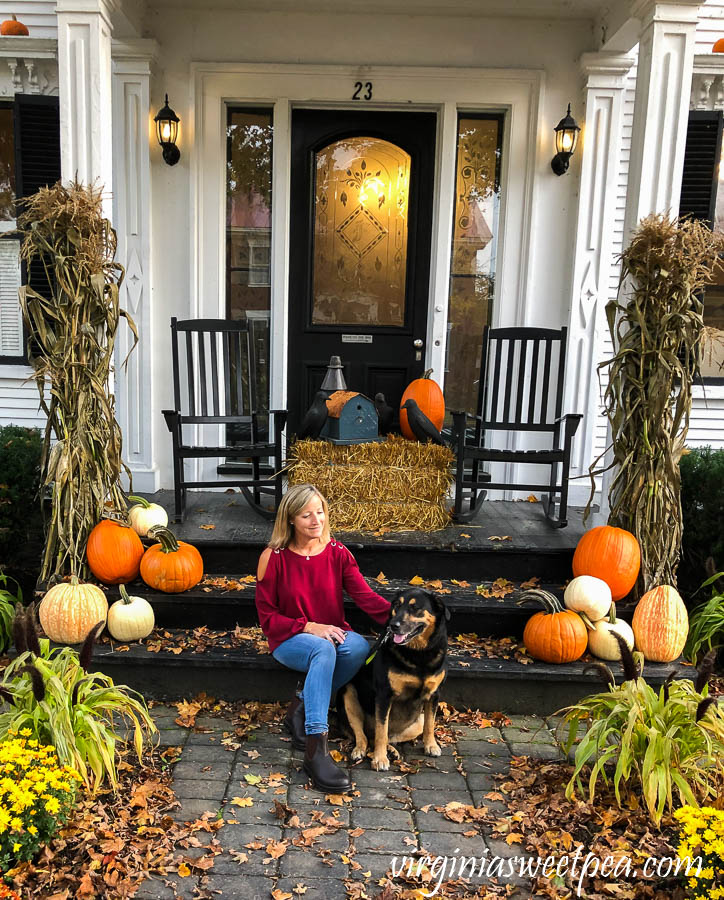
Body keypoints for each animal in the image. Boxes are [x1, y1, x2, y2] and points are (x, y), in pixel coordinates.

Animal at [338, 588, 446, 768]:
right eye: (396, 605)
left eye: (415, 607)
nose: (393, 626)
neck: (418, 654)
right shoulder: (384, 695)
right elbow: (381, 731)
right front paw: (379, 759)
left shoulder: (434, 694)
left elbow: (430, 725)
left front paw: (431, 746)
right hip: (349, 694)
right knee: (364, 735)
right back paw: (361, 750)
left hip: (417, 721)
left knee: (387, 737)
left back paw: (392, 750)